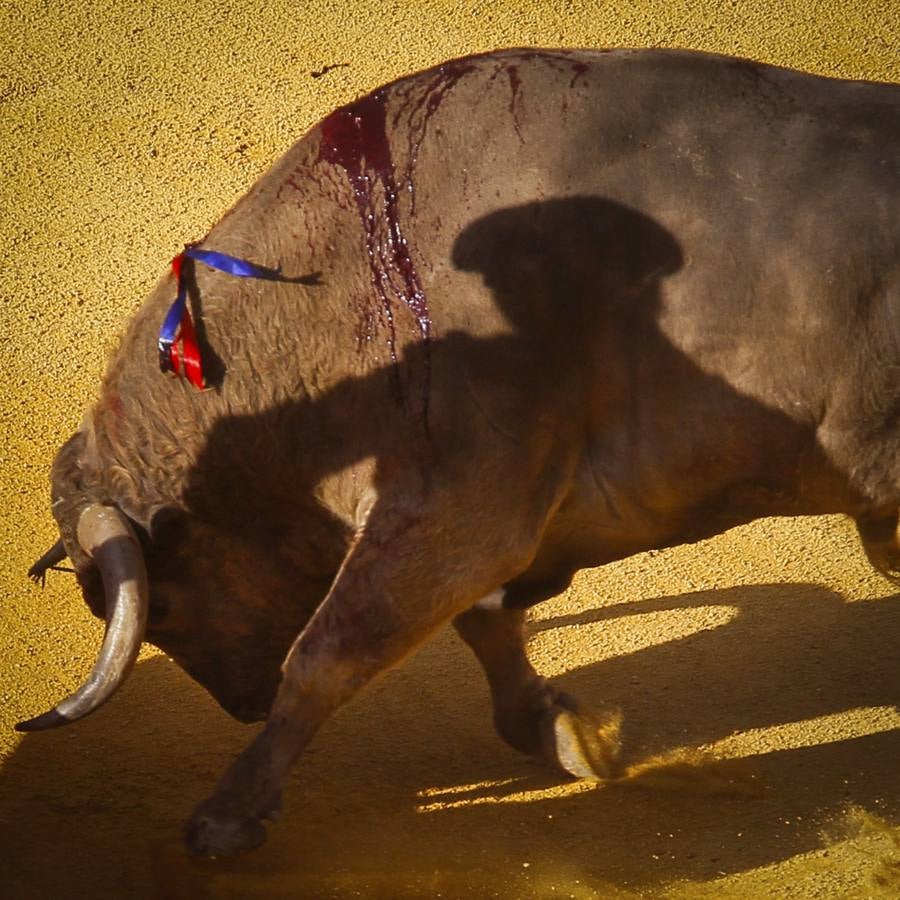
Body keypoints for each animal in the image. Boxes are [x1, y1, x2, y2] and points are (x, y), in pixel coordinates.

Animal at [19, 51, 900, 856]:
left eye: (161, 605)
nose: (244, 702)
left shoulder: (461, 507)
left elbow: (329, 653)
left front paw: (226, 816)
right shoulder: (469, 519)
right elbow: (484, 624)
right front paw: (558, 732)